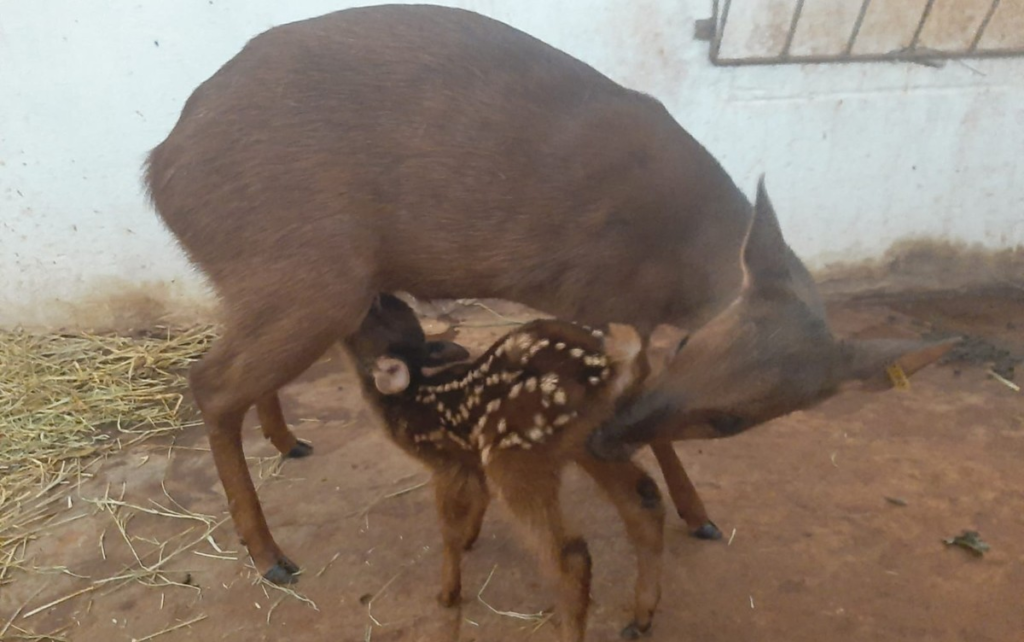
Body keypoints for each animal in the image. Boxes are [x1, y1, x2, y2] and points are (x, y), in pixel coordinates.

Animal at [144, 3, 950, 581]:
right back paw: (270, 556)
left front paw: (696, 510)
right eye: (692, 341)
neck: (679, 252)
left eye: (735, 419)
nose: (610, 437)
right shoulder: (597, 300)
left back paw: (289, 444)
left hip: (277, 283)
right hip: (309, 276)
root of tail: (161, 166)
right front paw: (685, 506)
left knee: (241, 376)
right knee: (211, 383)